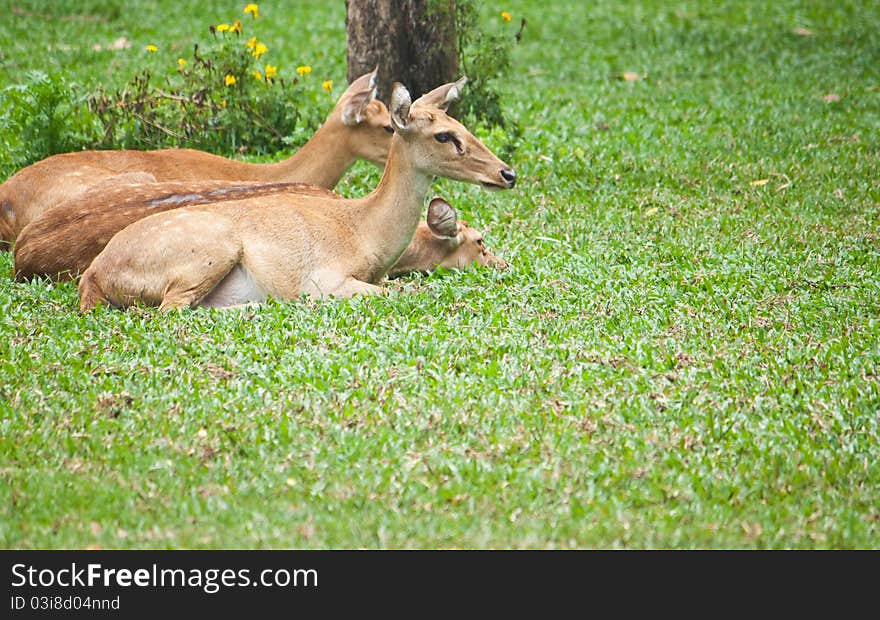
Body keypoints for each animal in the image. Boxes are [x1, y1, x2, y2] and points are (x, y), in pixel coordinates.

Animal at [77, 77, 516, 312]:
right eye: (443, 135)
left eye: (460, 123)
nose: (507, 173)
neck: (366, 234)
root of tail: (92, 277)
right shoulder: (327, 278)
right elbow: (400, 290)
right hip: (207, 249)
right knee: (172, 309)